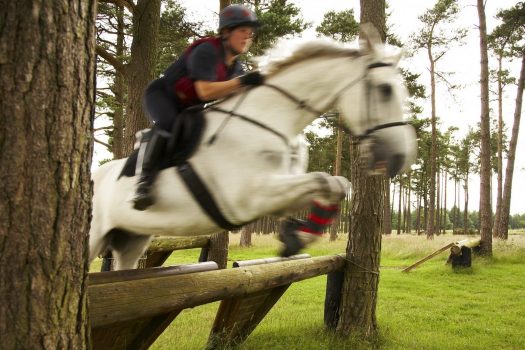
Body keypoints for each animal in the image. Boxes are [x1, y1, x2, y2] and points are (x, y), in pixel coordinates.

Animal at [91, 31, 418, 270]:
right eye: (385, 90)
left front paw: (296, 236)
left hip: (132, 239)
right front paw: (296, 237)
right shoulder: (248, 197)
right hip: (93, 236)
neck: (271, 118)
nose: (400, 157)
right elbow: (323, 180)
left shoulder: (277, 194)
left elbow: (336, 184)